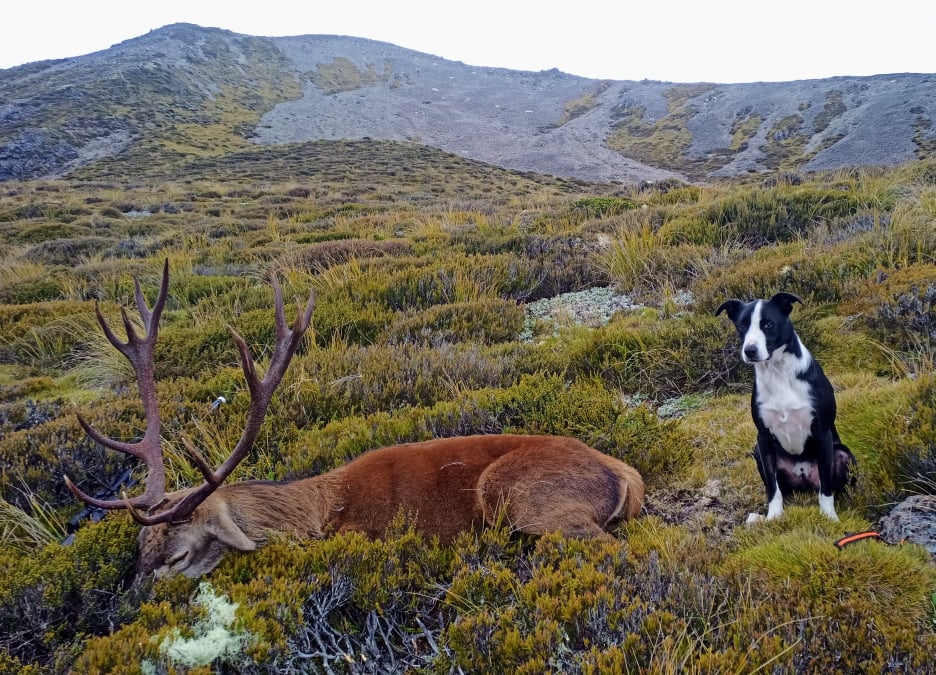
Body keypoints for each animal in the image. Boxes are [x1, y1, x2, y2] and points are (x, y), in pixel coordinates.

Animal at [65, 261, 645, 580]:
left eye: (179, 549)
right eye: (138, 550)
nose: (136, 590)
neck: (317, 514)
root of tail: (627, 477)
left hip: (525, 498)